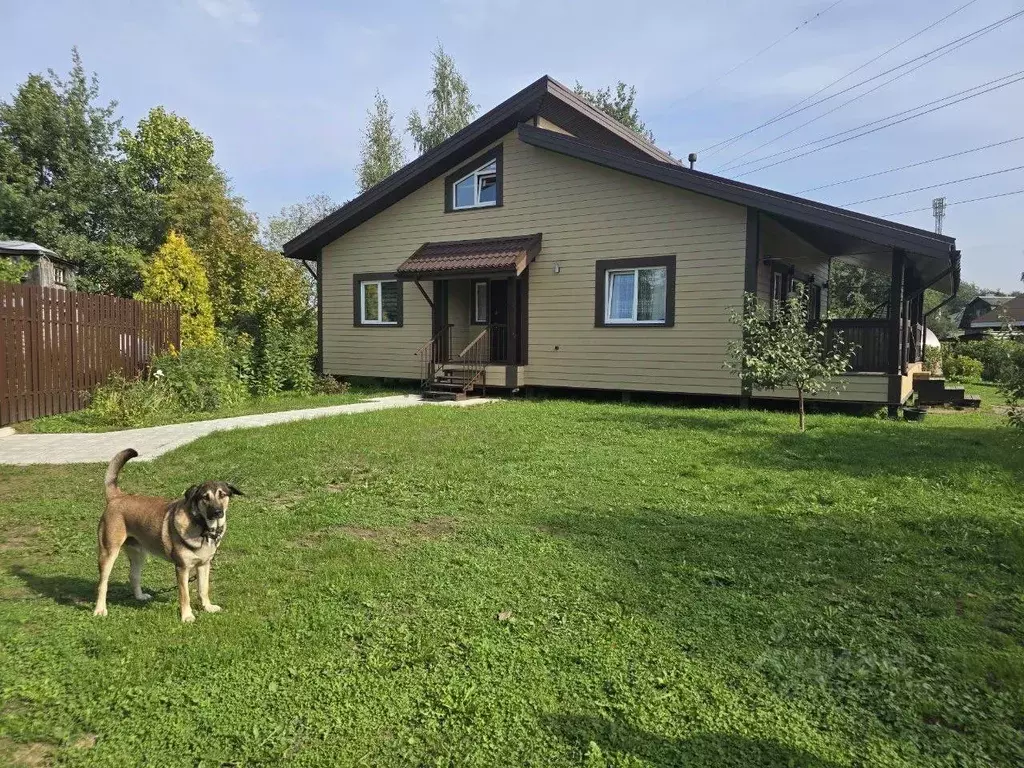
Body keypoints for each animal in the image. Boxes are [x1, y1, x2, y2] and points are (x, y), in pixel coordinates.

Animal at [93, 450, 241, 626]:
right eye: (205, 497)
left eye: (222, 495)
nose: (218, 512)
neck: (203, 528)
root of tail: (117, 496)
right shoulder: (182, 568)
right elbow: (185, 595)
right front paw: (187, 616)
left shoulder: (204, 565)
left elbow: (203, 589)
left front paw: (208, 607)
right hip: (108, 552)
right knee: (102, 584)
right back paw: (100, 610)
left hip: (138, 553)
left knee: (133, 575)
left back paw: (140, 597)